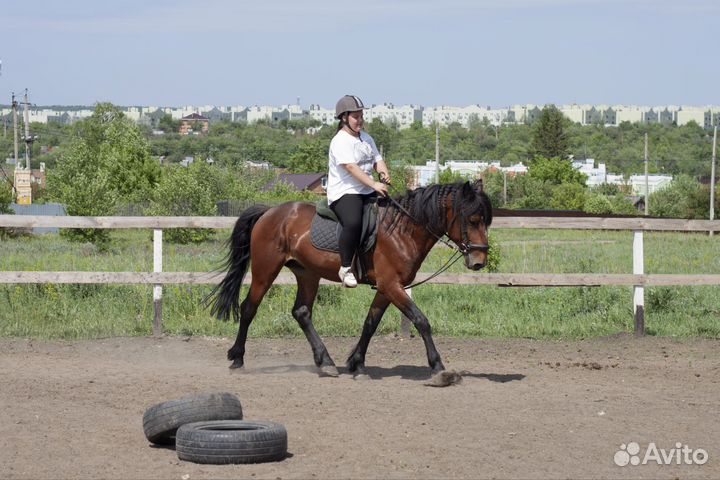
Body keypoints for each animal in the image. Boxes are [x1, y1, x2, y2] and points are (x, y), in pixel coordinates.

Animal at [205, 179, 492, 378]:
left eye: (486, 221)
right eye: (473, 219)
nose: (479, 261)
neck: (403, 230)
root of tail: (270, 212)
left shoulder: (387, 288)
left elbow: (370, 324)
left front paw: (357, 363)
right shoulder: (392, 286)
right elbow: (421, 321)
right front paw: (438, 365)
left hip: (307, 273)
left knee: (301, 312)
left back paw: (326, 362)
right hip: (266, 271)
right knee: (248, 308)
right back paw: (238, 359)